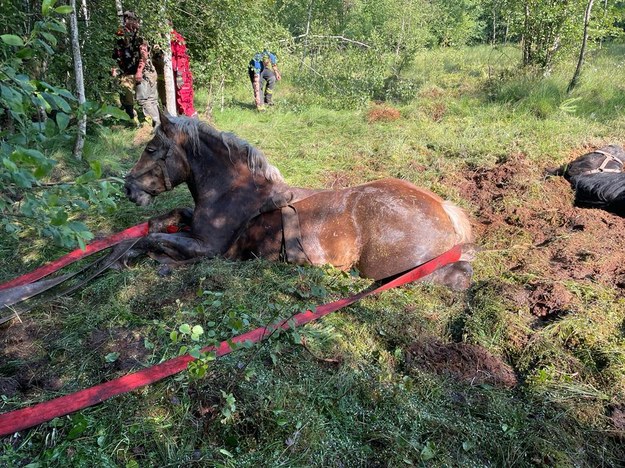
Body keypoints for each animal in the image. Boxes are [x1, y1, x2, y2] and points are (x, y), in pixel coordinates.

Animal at [122, 112, 472, 290]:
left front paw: (140, 256)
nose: (128, 188)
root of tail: (442, 209)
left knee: (455, 276)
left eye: (151, 149)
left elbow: (151, 240)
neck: (232, 192)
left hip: (388, 268)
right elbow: (166, 220)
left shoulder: (209, 249)